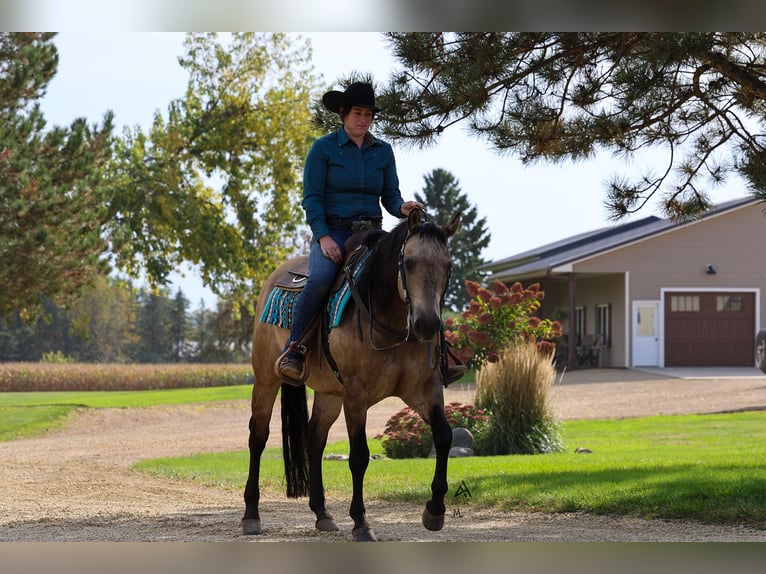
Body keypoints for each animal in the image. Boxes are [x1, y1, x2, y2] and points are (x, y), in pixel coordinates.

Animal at [242, 208, 461, 541]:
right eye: (409, 262)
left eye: (447, 266)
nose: (427, 324)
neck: (390, 320)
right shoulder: (356, 396)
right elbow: (359, 455)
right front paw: (360, 522)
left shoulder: (425, 389)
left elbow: (444, 436)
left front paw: (435, 511)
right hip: (267, 378)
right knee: (258, 436)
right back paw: (251, 515)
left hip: (330, 393)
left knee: (314, 438)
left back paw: (322, 513)